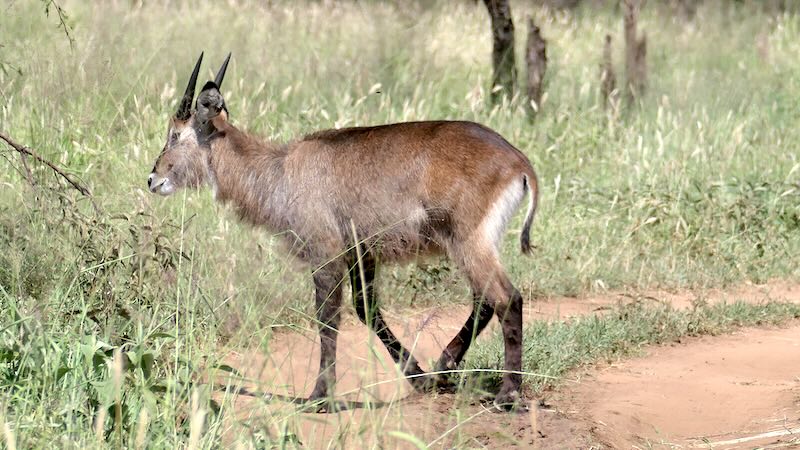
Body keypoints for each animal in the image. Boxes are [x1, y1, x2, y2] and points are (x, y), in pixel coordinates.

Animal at [147, 53, 539, 412]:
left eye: (174, 135)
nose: (152, 179)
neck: (279, 172)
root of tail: (520, 162)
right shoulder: (360, 254)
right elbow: (367, 310)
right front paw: (417, 376)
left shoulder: (326, 254)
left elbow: (327, 318)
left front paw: (319, 396)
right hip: (470, 246)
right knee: (484, 300)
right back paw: (444, 368)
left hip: (468, 243)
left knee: (507, 298)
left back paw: (508, 395)